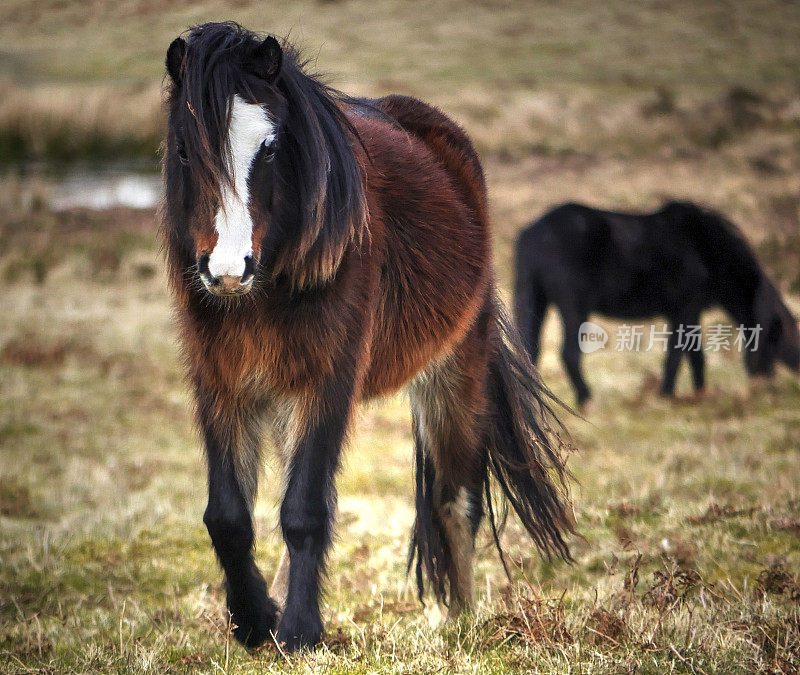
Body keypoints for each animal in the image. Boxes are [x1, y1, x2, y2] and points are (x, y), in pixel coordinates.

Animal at [162, 22, 576, 656]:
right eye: (185, 149)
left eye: (270, 148)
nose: (227, 271)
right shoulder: (221, 383)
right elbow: (229, 515)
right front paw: (255, 622)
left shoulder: (328, 382)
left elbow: (305, 509)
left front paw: (299, 632)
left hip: (455, 371)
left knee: (455, 499)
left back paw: (462, 622)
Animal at [516, 199, 796, 402]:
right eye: (777, 335)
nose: (765, 379)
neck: (705, 248)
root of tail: (534, 233)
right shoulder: (686, 309)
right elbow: (679, 354)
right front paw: (668, 394)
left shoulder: (684, 312)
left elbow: (693, 354)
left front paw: (699, 393)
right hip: (574, 307)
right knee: (569, 354)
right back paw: (587, 399)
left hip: (536, 300)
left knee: (530, 351)